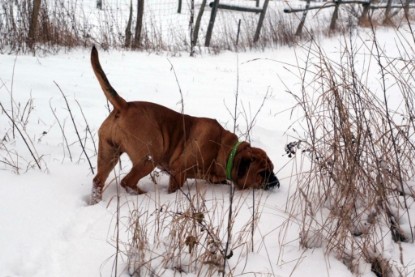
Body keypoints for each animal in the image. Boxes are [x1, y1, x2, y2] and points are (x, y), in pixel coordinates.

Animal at [90, 45, 280, 203]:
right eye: (263, 173)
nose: (276, 183)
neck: (224, 150)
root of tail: (124, 105)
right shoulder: (178, 172)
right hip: (149, 158)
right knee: (127, 181)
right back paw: (144, 195)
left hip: (108, 153)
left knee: (98, 180)